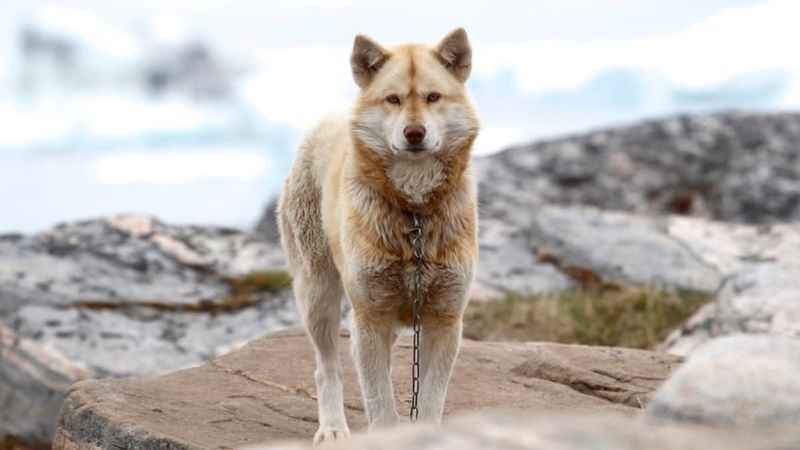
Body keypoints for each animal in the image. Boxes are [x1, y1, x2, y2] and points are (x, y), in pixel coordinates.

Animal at [278, 27, 478, 442]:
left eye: (433, 97)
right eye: (393, 99)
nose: (414, 133)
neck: (414, 213)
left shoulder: (444, 320)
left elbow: (429, 400)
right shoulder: (370, 315)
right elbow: (380, 405)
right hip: (318, 294)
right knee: (327, 368)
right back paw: (332, 429)